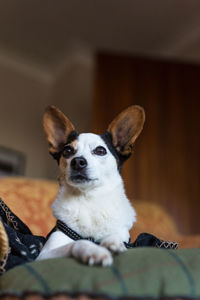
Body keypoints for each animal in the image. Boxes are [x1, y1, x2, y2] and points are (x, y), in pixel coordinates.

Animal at [36, 104, 145, 266]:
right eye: (67, 151)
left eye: (100, 150)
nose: (77, 161)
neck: (89, 198)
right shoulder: (44, 255)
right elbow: (78, 243)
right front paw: (95, 251)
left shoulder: (122, 233)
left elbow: (115, 236)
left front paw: (112, 242)